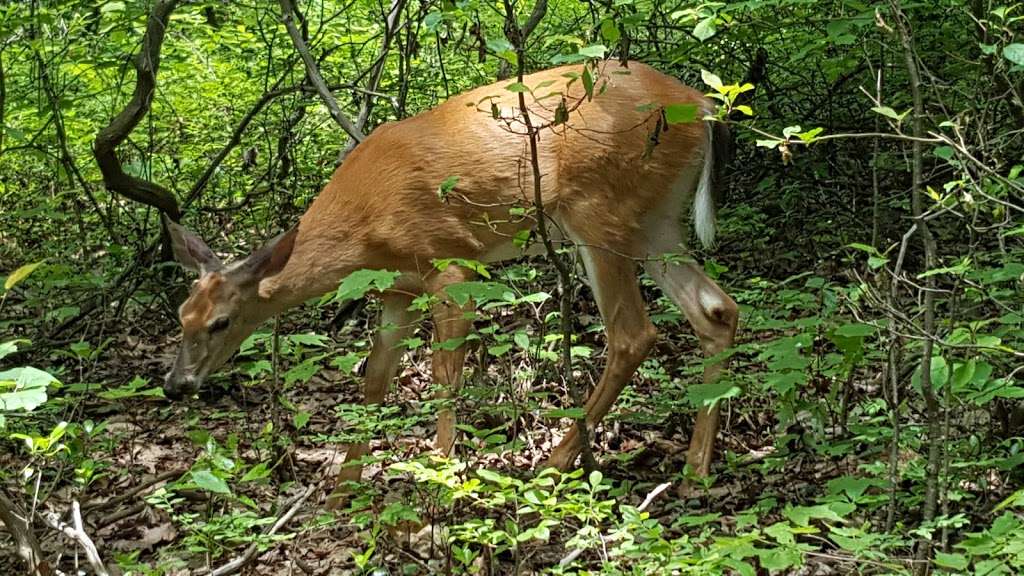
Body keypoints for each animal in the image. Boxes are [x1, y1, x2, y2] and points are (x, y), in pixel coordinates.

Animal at [161, 60, 737, 500]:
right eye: (181, 316)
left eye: (221, 322)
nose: (175, 385)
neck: (364, 224)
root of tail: (703, 107)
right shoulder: (397, 287)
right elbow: (375, 378)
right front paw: (345, 489)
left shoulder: (451, 267)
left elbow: (444, 376)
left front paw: (437, 483)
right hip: (655, 219)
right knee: (715, 309)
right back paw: (695, 474)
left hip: (600, 211)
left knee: (633, 333)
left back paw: (554, 464)